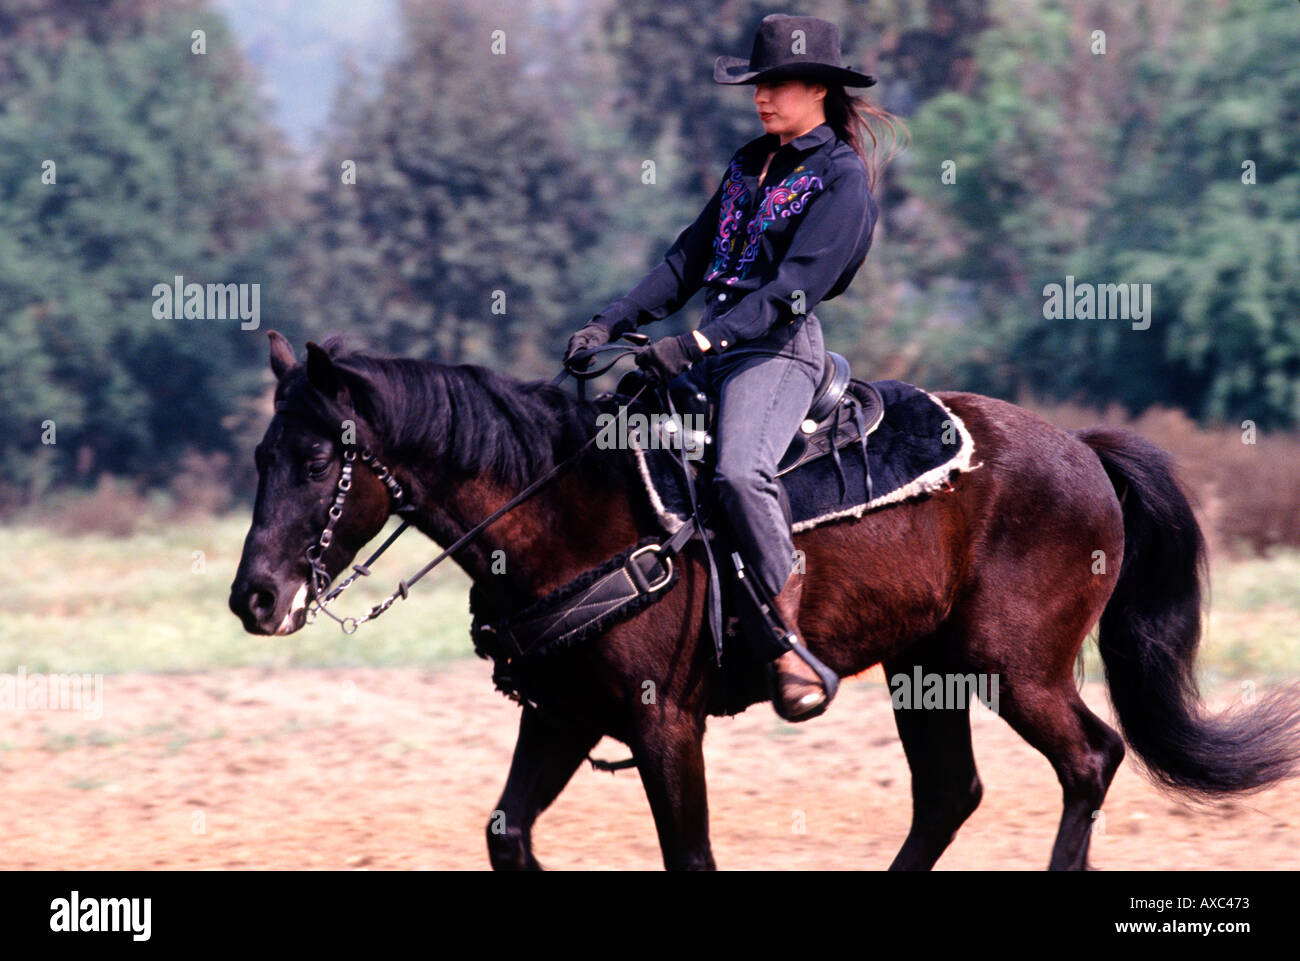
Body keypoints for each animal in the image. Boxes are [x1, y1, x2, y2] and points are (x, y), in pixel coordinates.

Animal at [228, 332, 1300, 873]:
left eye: (320, 458)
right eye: (261, 454)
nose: (256, 598)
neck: (571, 510)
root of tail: (1082, 449)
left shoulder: (664, 725)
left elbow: (690, 855)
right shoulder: (565, 715)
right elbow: (507, 834)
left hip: (1017, 667)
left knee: (1088, 759)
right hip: (925, 670)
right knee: (950, 793)